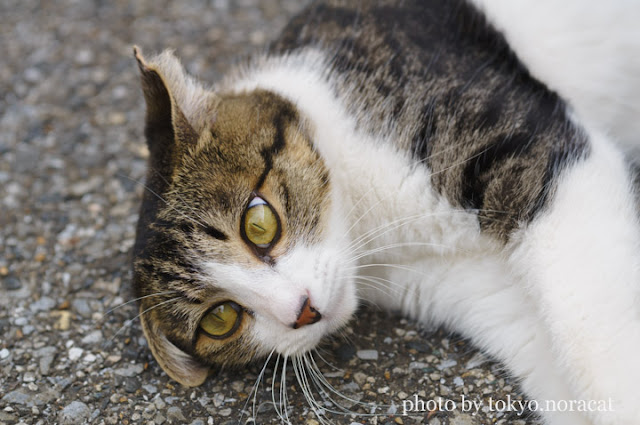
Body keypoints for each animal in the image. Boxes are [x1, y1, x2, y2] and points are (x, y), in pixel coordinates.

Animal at [131, 0, 640, 424]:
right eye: (220, 320)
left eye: (258, 223)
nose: (302, 311)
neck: (370, 230)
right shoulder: (472, 286)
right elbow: (550, 356)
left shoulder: (538, 156)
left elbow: (592, 328)